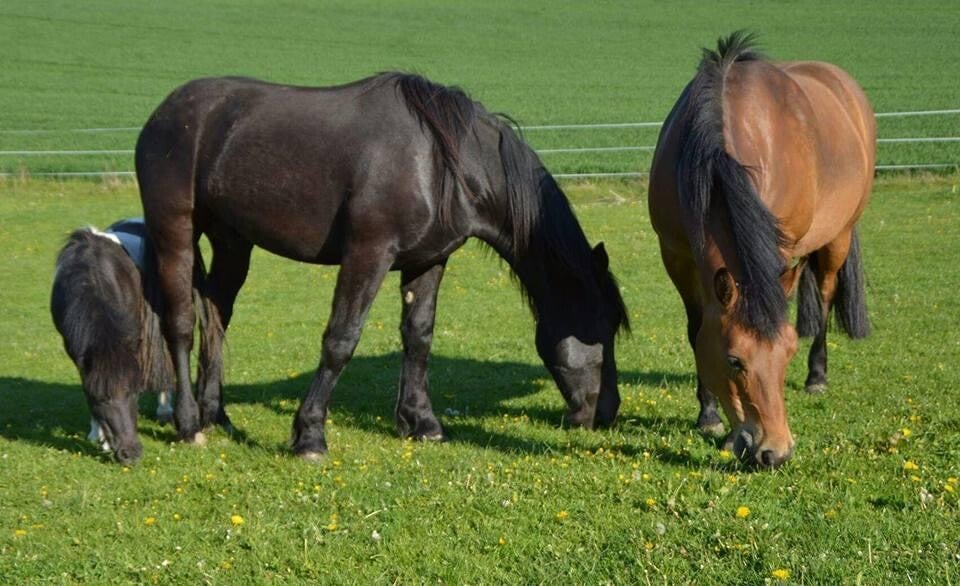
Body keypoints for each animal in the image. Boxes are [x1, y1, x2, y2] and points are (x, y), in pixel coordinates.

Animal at [50, 218, 220, 464]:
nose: (132, 453)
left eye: (133, 393)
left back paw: (164, 411)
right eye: (101, 399)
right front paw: (96, 434)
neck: (90, 278)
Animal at [136, 73, 630, 459]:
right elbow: (341, 339)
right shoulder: (368, 253)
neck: (442, 163)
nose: (607, 413)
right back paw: (188, 424)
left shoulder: (429, 261)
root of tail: (164, 112)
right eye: (603, 329)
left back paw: (216, 415)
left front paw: (422, 423)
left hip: (233, 242)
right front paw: (309, 436)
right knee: (180, 323)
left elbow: (419, 337)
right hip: (175, 232)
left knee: (216, 314)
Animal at [648, 32, 874, 467]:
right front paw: (708, 416)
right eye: (734, 360)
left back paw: (817, 377)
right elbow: (696, 329)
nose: (776, 451)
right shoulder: (676, 256)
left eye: (787, 353)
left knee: (824, 295)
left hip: (837, 237)